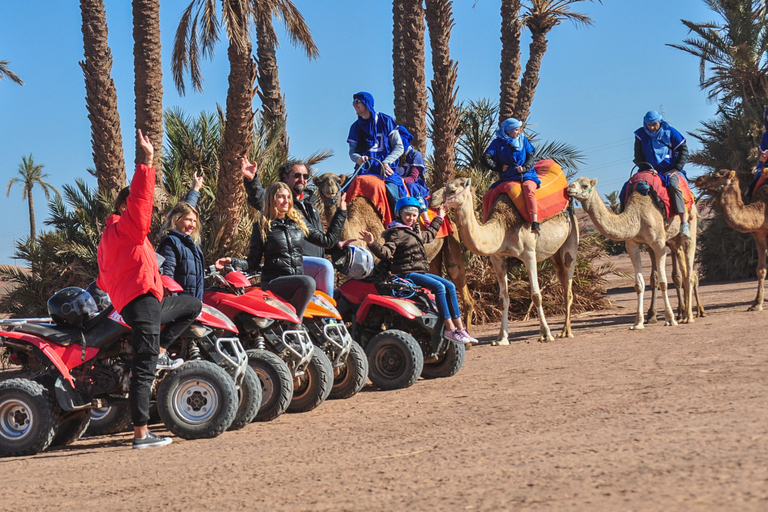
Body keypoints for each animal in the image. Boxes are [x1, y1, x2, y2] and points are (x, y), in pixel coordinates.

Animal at [438, 176, 576, 344]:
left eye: (452, 190)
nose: (434, 200)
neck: (503, 228)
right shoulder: (496, 257)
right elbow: (503, 298)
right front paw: (501, 338)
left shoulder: (529, 253)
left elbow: (536, 295)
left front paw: (546, 334)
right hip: (553, 254)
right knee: (563, 279)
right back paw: (564, 330)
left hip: (571, 239)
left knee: (568, 283)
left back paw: (566, 332)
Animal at [568, 176, 700, 328]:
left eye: (584, 185)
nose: (569, 188)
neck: (637, 216)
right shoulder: (632, 244)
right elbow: (639, 284)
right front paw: (638, 322)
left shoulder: (659, 244)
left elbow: (663, 282)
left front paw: (670, 319)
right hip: (673, 239)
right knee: (684, 271)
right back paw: (683, 315)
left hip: (691, 221)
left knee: (689, 266)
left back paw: (690, 316)